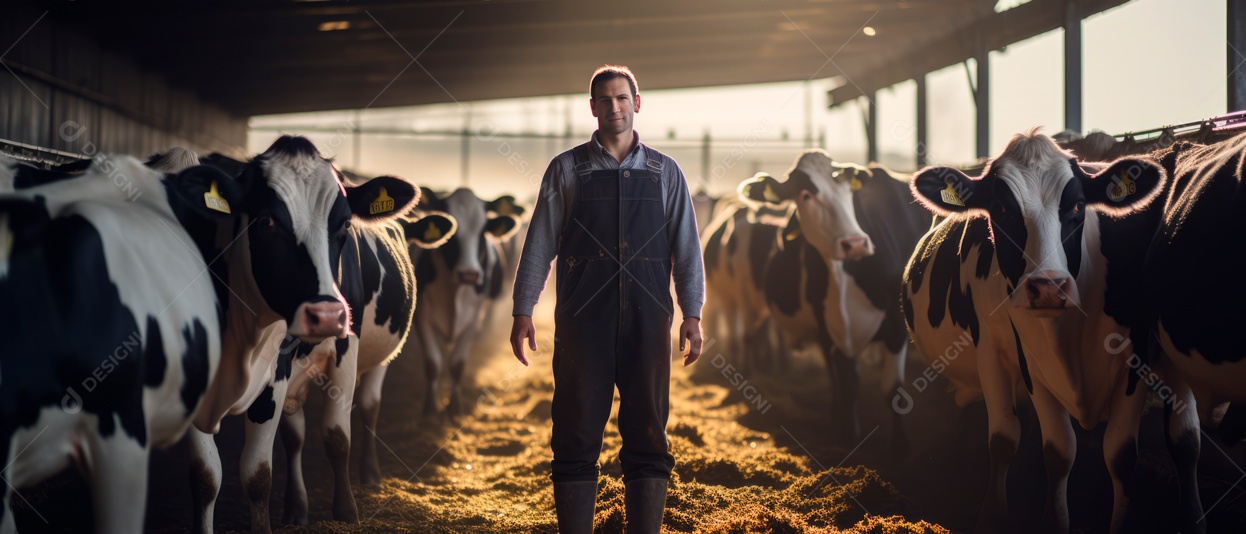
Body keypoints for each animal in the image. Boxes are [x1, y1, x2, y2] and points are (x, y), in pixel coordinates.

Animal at [411, 186, 518, 415]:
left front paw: (455, 406)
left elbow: (457, 364)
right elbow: (433, 363)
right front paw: (430, 408)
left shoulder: (473, 319)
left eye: (483, 232)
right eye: (451, 233)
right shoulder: (422, 317)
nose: (469, 274)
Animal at [732, 148, 932, 445]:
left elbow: (892, 389)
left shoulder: (896, 327)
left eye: (848, 190)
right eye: (805, 194)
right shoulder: (831, 326)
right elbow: (848, 385)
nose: (855, 244)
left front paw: (899, 442)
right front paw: (848, 434)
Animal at [902, 130, 1161, 532]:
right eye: (1000, 210)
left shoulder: (1137, 360)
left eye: (1078, 206)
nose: (1048, 287)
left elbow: (1120, 457)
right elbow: (1044, 448)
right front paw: (999, 515)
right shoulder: (1017, 358)